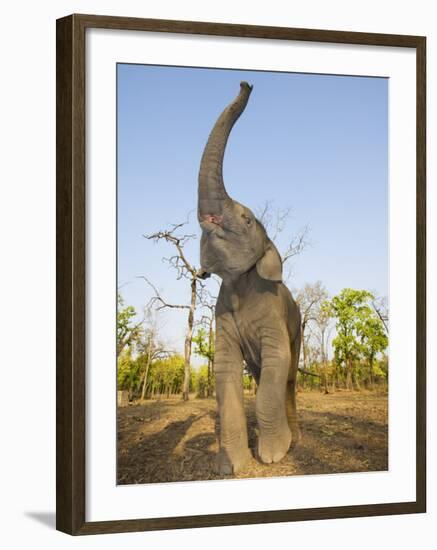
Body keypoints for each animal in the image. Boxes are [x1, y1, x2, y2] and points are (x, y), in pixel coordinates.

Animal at [197, 81, 300, 474]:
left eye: (245, 219)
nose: (246, 84)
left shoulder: (274, 313)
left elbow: (277, 361)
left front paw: (272, 456)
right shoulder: (222, 315)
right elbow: (225, 370)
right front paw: (230, 468)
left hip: (300, 326)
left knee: (288, 377)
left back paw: (296, 440)